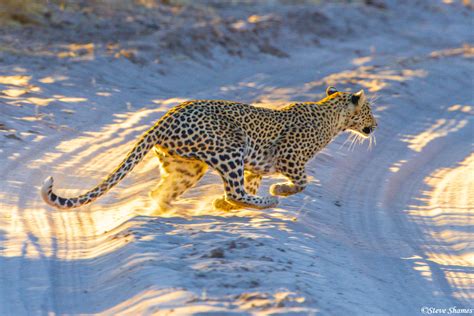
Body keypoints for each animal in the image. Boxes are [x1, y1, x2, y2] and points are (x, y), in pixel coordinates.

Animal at [42, 85, 380, 211]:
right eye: (369, 111)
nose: (376, 126)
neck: (332, 118)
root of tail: (164, 118)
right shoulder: (290, 158)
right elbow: (303, 182)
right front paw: (279, 191)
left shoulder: (256, 167)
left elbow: (254, 181)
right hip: (231, 145)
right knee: (233, 190)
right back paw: (263, 203)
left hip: (188, 166)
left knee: (160, 192)